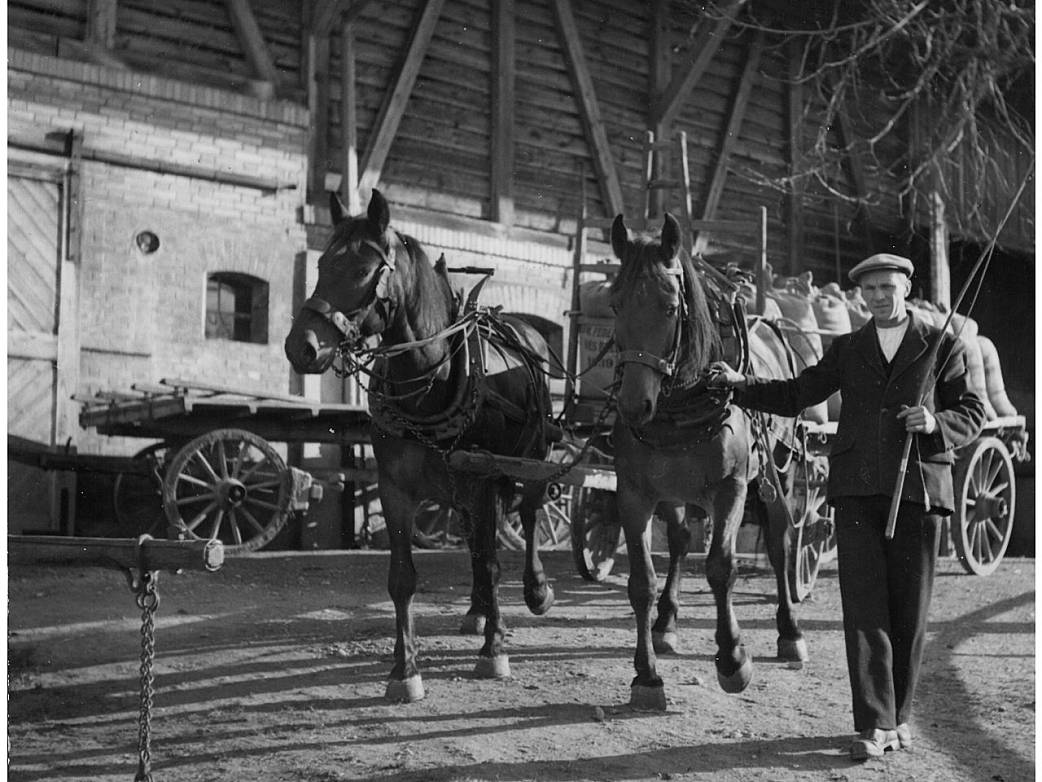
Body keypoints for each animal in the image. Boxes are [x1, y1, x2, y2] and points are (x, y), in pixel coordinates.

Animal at [285, 189, 558, 704]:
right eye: (321, 265)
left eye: (361, 270)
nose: (301, 346)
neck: (432, 380)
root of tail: (526, 328)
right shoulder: (396, 489)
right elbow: (403, 578)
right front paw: (404, 668)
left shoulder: (483, 479)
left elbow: (493, 562)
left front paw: (495, 652)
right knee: (475, 538)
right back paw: (477, 612)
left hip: (529, 458)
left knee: (531, 514)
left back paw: (533, 592)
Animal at [608, 212, 808, 709]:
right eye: (615, 304)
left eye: (667, 307)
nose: (634, 406)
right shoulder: (634, 494)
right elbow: (641, 582)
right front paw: (646, 675)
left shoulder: (730, 487)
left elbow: (721, 567)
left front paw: (733, 658)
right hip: (676, 491)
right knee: (681, 540)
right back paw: (666, 623)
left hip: (778, 472)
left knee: (781, 541)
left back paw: (789, 631)